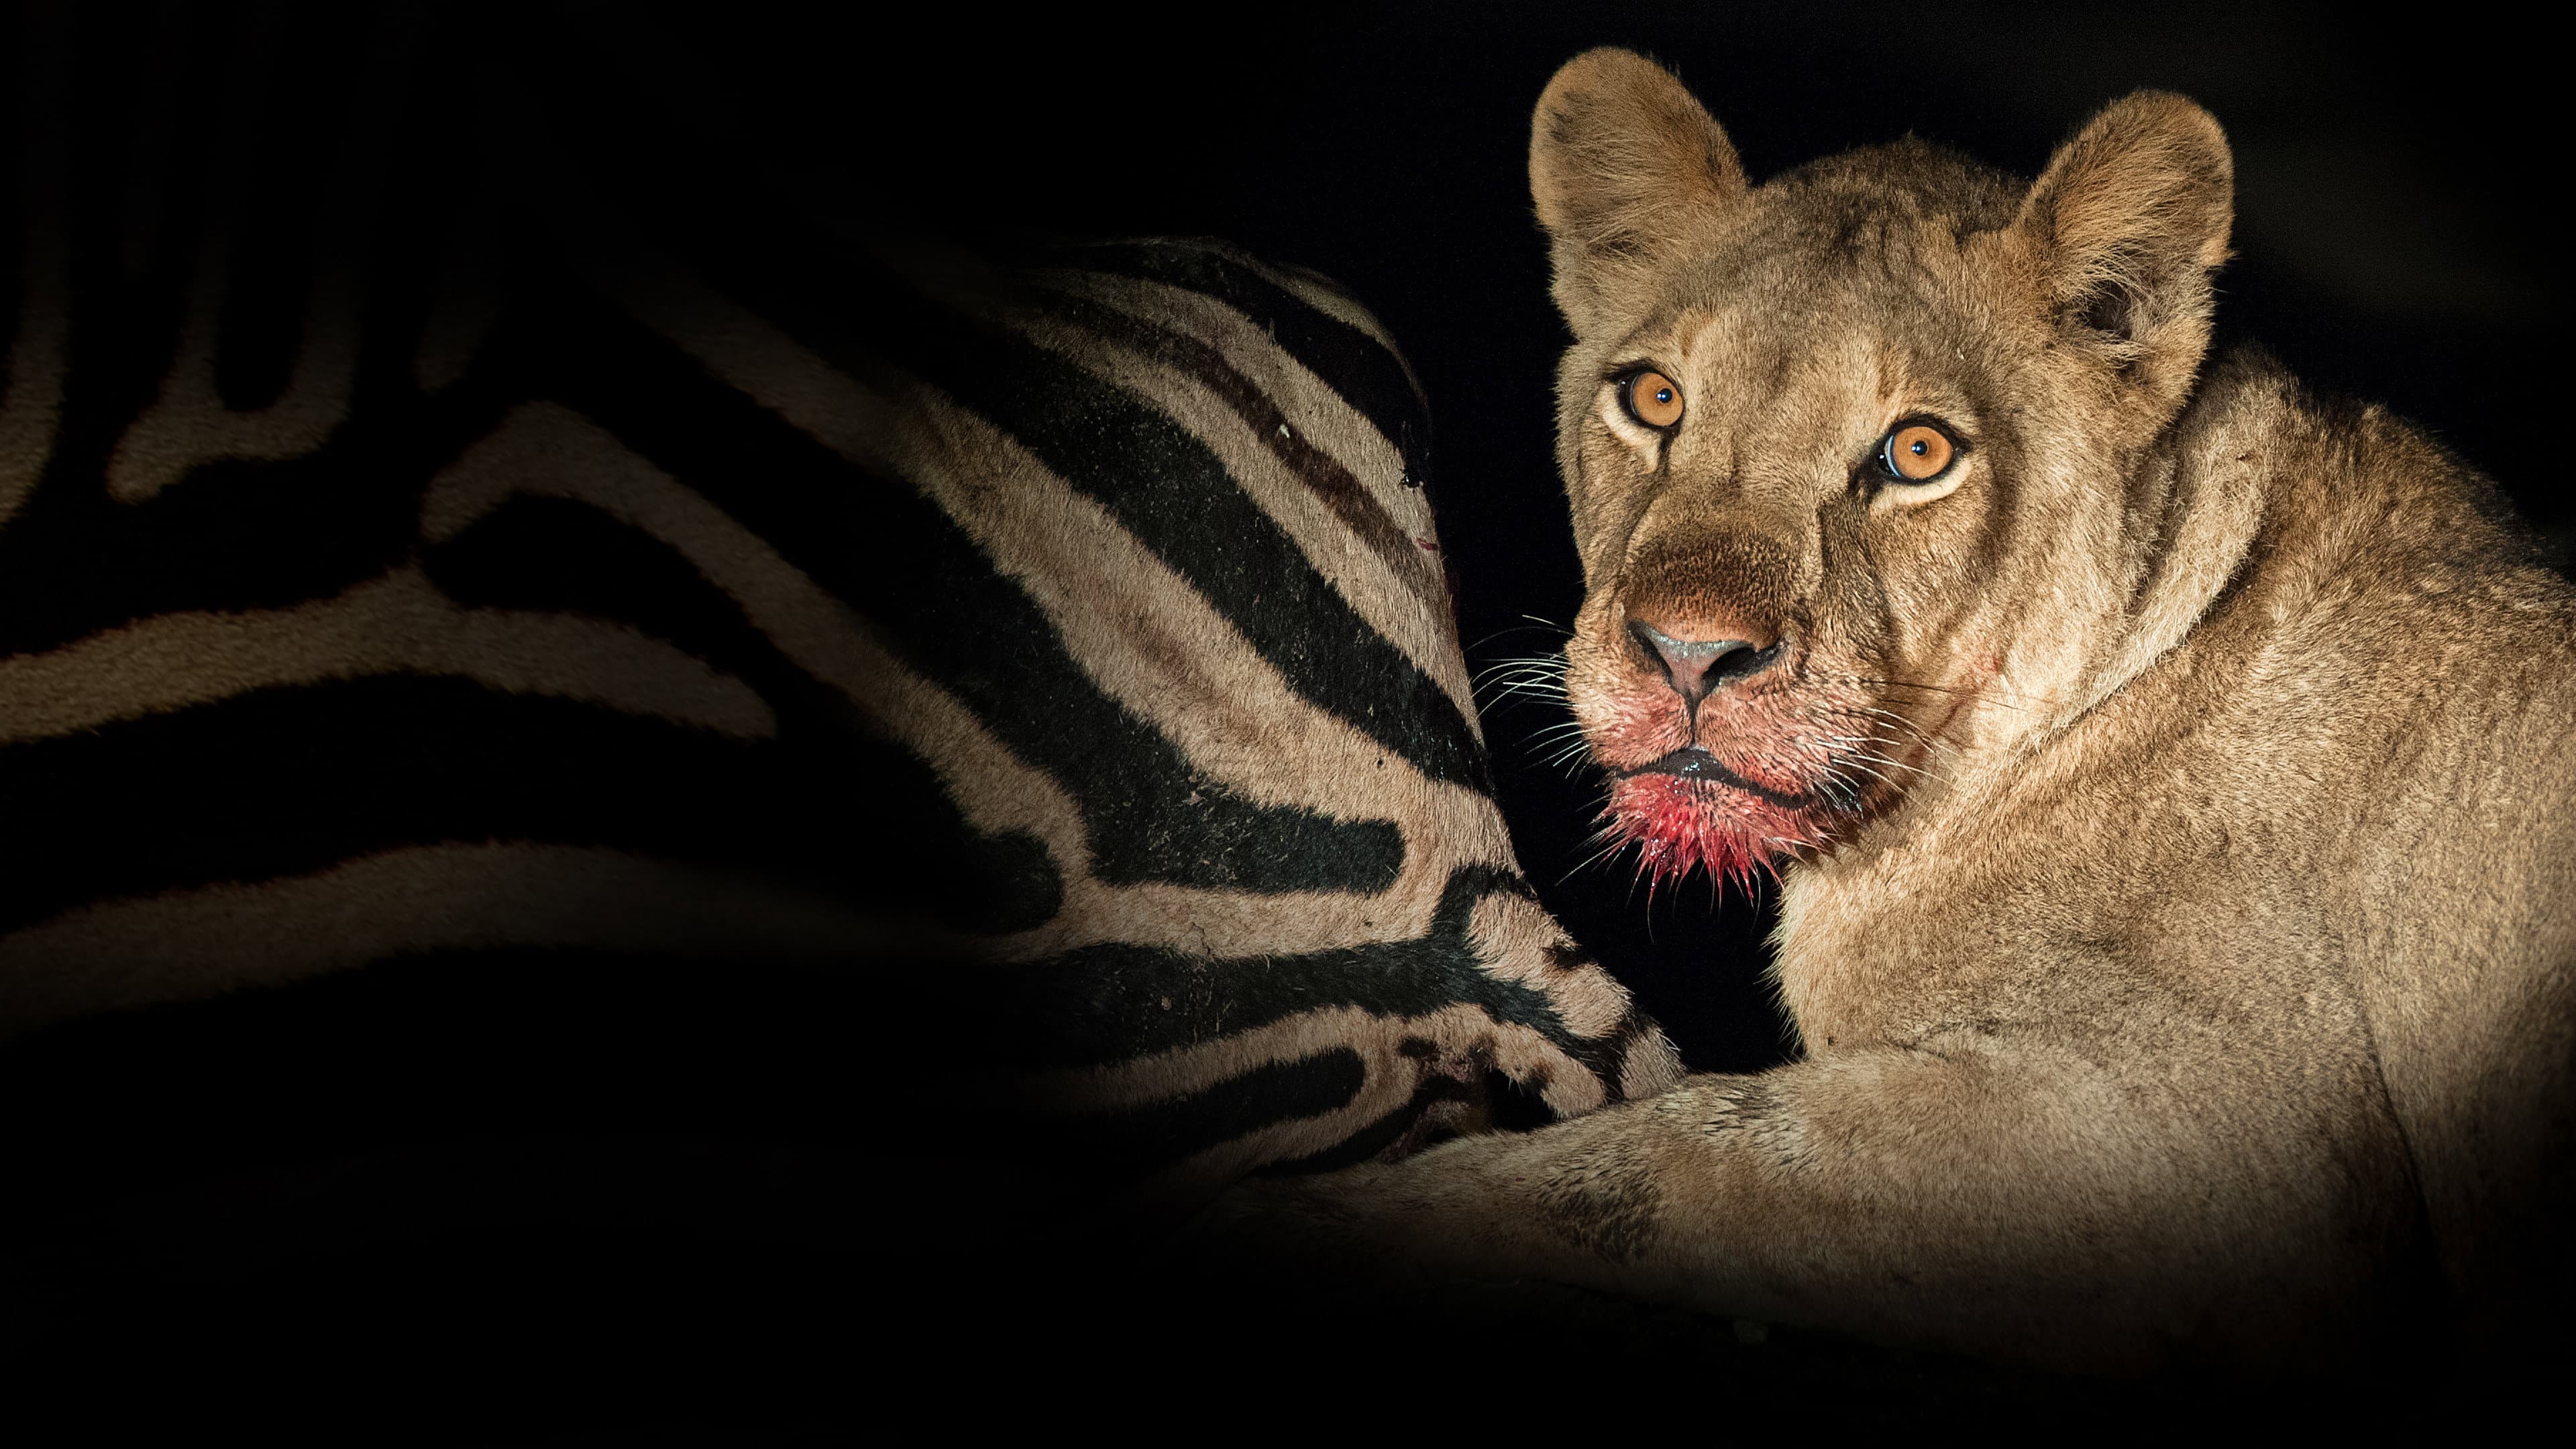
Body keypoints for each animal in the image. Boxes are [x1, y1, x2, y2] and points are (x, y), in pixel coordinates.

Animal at [1208, 49, 2576, 1383]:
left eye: (1918, 453)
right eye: (1654, 401)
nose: (1688, 655)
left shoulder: (2240, 1140)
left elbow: (1682, 1157)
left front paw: (1303, 1225)